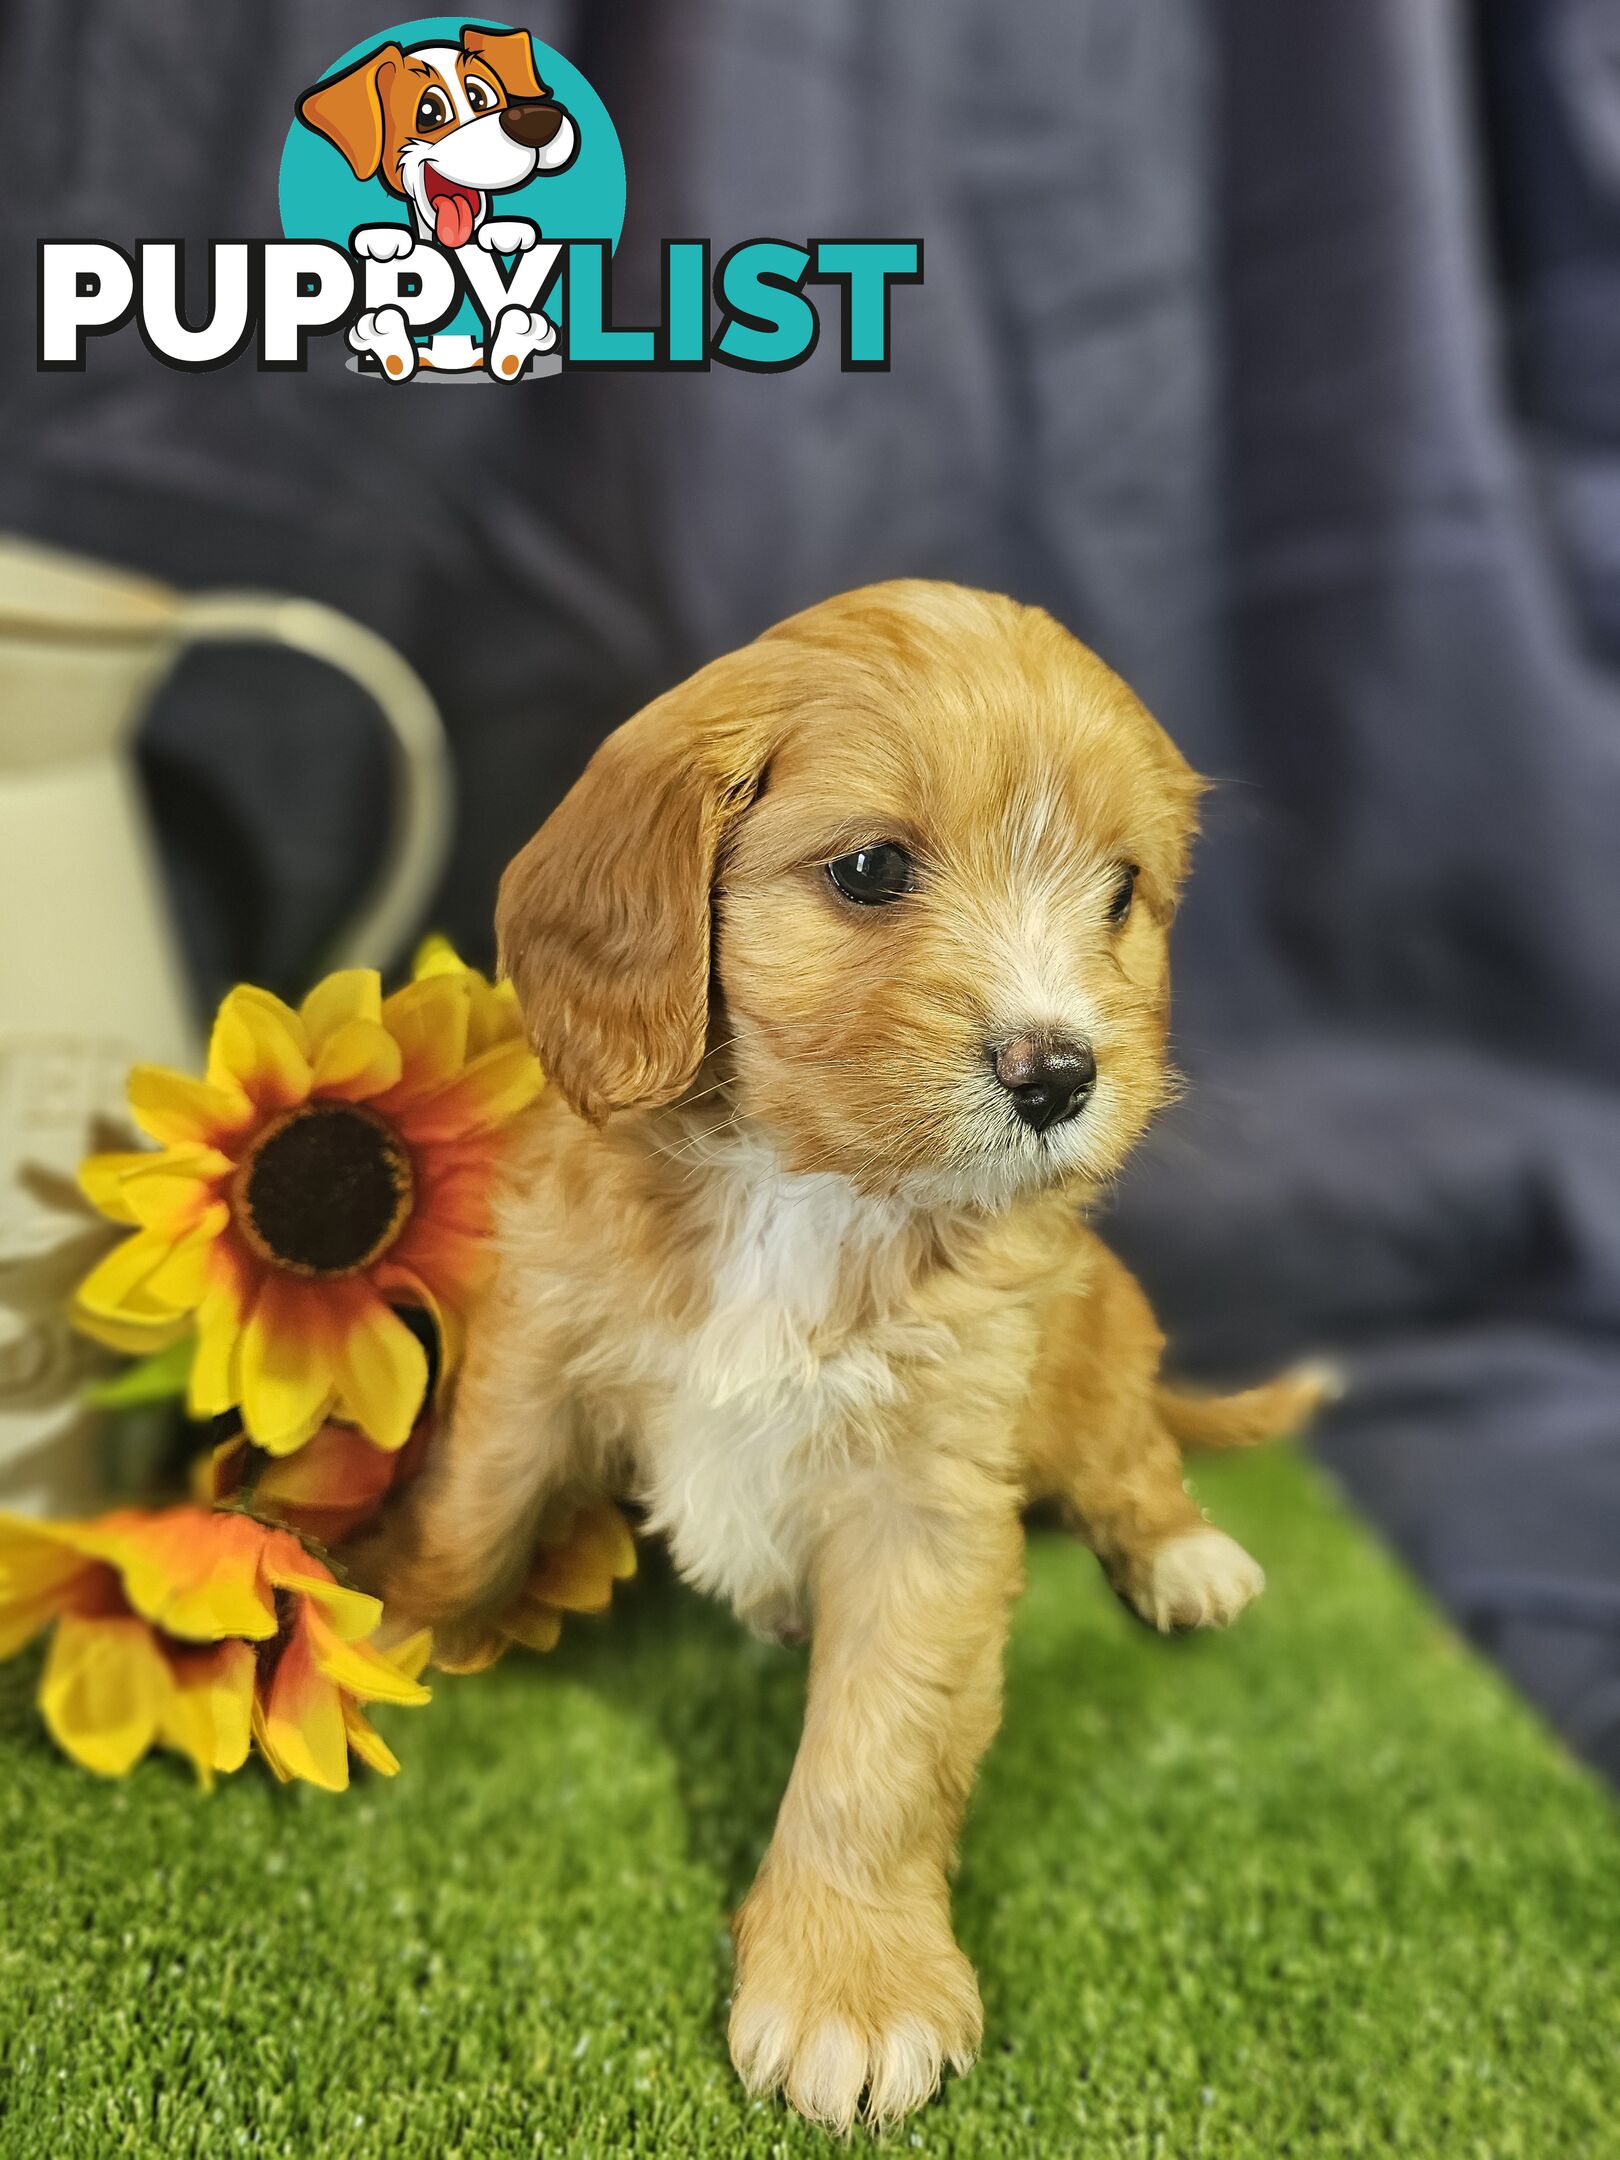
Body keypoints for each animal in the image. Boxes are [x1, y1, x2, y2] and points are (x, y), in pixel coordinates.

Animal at [354, 583, 1330, 2134]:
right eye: (872, 868)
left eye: (1121, 893)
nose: (1063, 1075)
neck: (801, 1191)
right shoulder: (539, 1358)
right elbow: (472, 1514)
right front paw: (373, 1621)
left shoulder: (927, 1503)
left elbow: (877, 1752)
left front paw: (847, 1986)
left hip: (1098, 1350)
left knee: (1133, 1460)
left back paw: (1183, 1556)